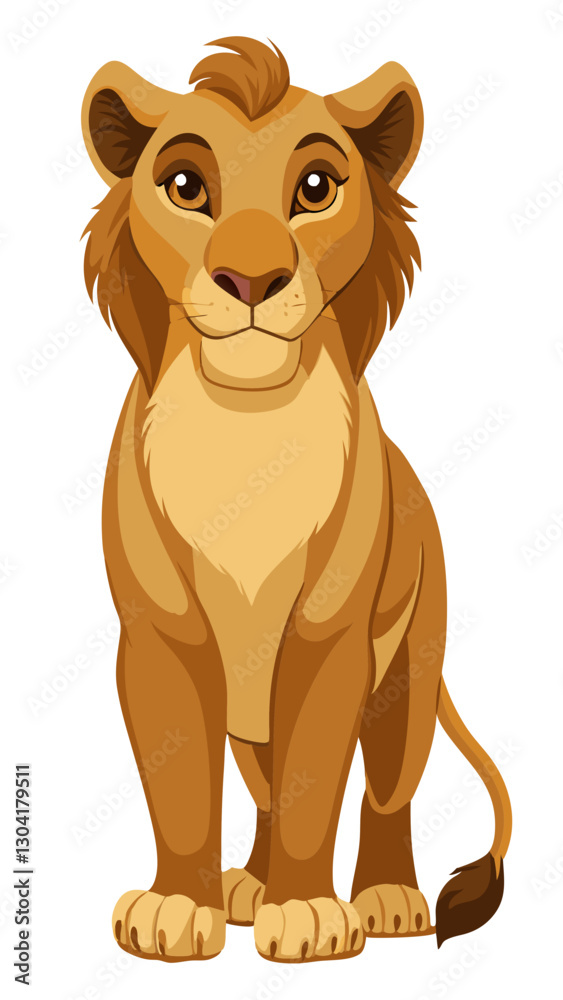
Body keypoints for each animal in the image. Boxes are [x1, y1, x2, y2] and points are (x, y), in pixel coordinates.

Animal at [81, 37, 511, 963]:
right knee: (266, 790)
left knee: (385, 792)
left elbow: (319, 784)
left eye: (316, 188)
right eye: (185, 186)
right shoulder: (160, 638)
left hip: (406, 677)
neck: (245, 420)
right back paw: (247, 886)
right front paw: (180, 909)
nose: (251, 278)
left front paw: (309, 915)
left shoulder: (329, 638)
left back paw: (385, 899)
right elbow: (181, 788)